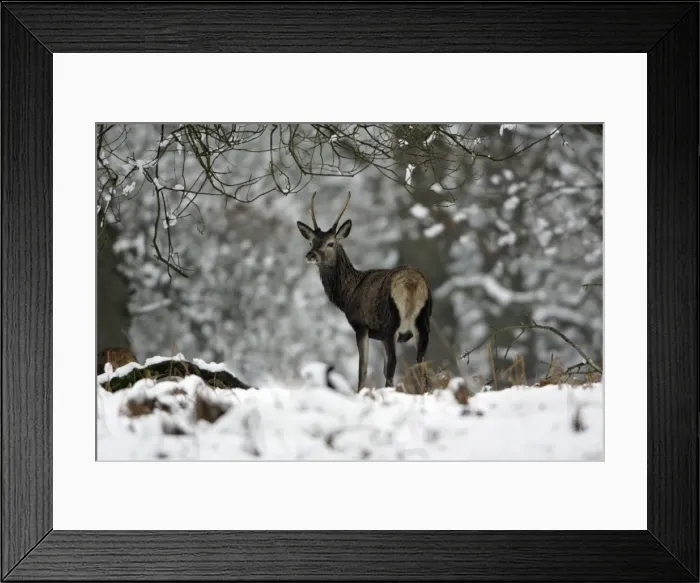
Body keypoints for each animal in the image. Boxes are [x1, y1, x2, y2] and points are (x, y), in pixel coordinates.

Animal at [297, 191, 433, 392]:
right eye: (311, 241)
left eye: (331, 243)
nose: (310, 255)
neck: (348, 293)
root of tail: (412, 284)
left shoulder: (361, 325)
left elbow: (363, 369)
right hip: (423, 323)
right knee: (421, 364)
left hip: (390, 323)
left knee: (393, 364)